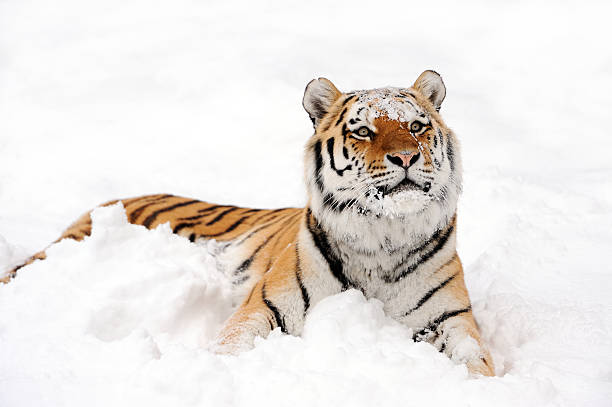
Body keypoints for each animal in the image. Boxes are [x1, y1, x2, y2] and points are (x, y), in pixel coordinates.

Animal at [2, 71, 494, 378]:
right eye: (363, 132)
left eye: (417, 127)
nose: (406, 157)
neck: (384, 237)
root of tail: (108, 202)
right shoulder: (264, 308)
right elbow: (231, 347)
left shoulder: (449, 319)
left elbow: (475, 362)